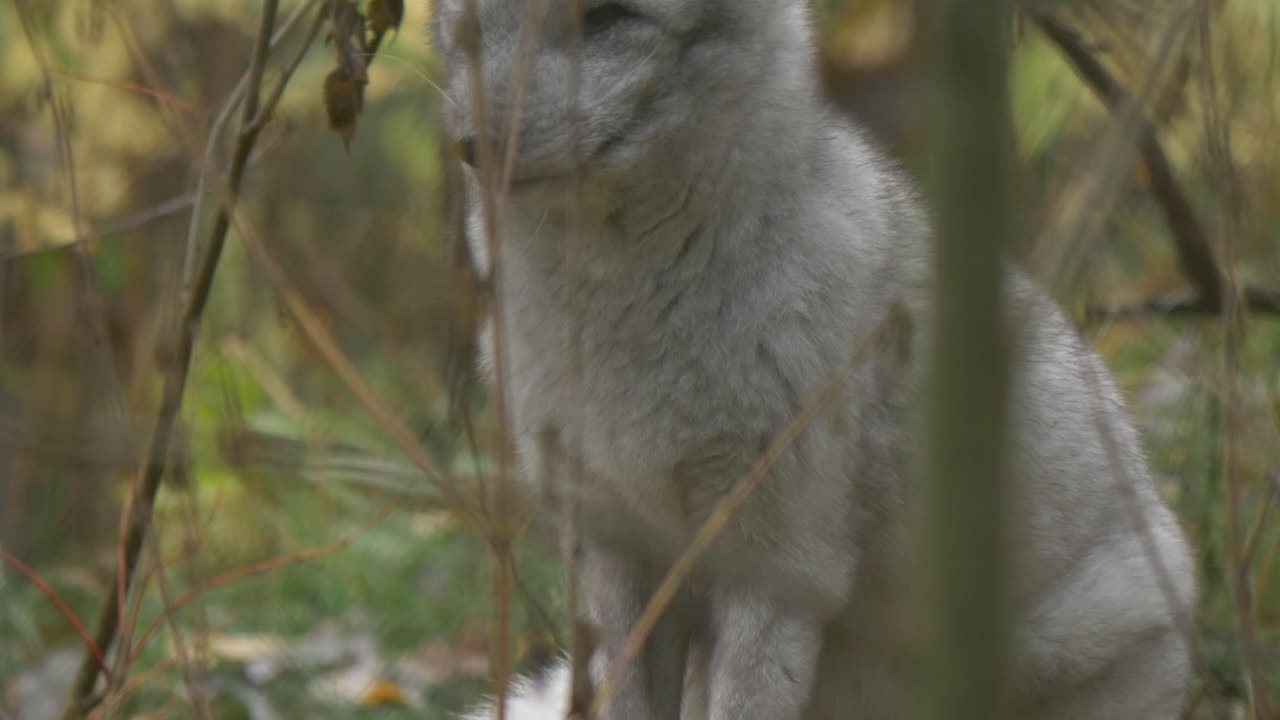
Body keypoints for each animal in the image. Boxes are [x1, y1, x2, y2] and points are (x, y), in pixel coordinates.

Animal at [429, 0, 1198, 718]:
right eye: (466, 31)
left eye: (602, 19)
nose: (473, 147)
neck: (623, 319)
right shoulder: (616, 550)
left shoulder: (779, 562)